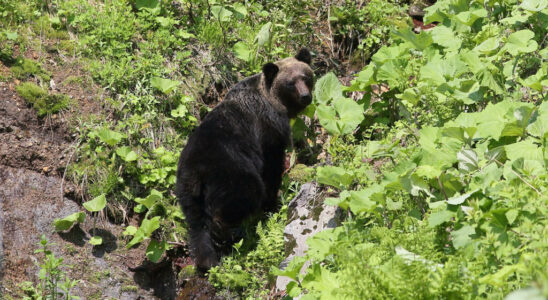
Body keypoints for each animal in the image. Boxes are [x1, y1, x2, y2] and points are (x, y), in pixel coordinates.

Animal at [176, 48, 312, 270]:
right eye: (291, 83)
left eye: (306, 77)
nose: (305, 96)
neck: (273, 101)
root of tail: (196, 172)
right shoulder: (268, 131)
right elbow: (272, 168)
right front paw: (272, 204)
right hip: (231, 173)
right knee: (243, 195)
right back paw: (233, 235)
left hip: (187, 192)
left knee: (196, 226)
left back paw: (207, 260)